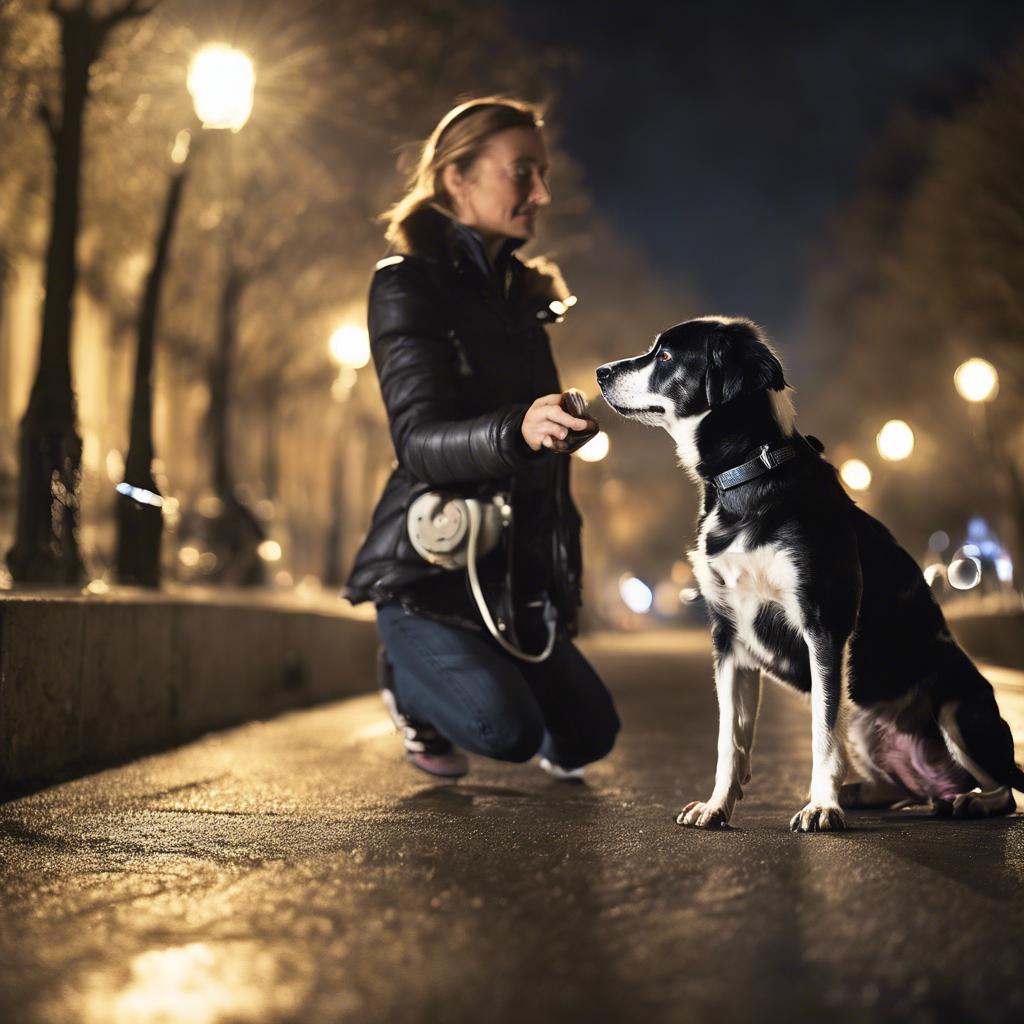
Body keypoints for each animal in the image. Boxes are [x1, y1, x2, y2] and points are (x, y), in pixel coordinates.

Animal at [598, 317, 1024, 831]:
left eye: (664, 357)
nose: (600, 372)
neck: (748, 478)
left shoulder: (824, 626)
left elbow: (822, 733)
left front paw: (822, 806)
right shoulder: (728, 638)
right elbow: (730, 740)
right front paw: (716, 806)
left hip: (957, 709)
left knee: (1004, 790)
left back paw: (969, 801)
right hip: (864, 718)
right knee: (902, 786)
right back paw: (869, 792)